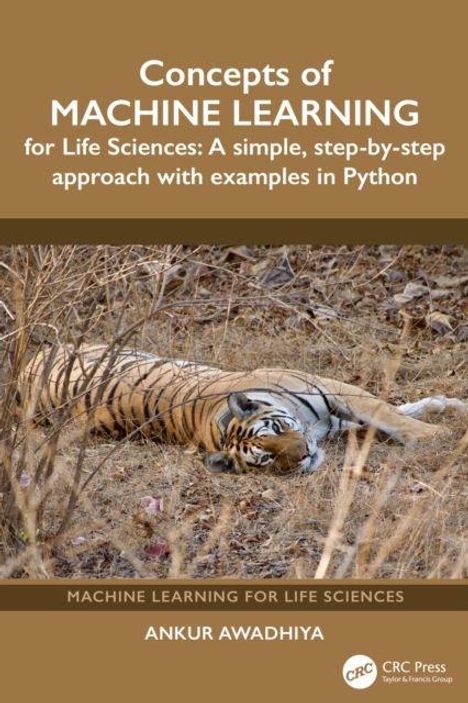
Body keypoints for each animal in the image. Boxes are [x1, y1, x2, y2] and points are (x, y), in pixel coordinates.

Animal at [18, 344, 467, 476]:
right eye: (265, 458)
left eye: (278, 430)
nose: (304, 457)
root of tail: (25, 368)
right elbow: (383, 417)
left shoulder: (336, 393)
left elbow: (387, 412)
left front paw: (438, 426)